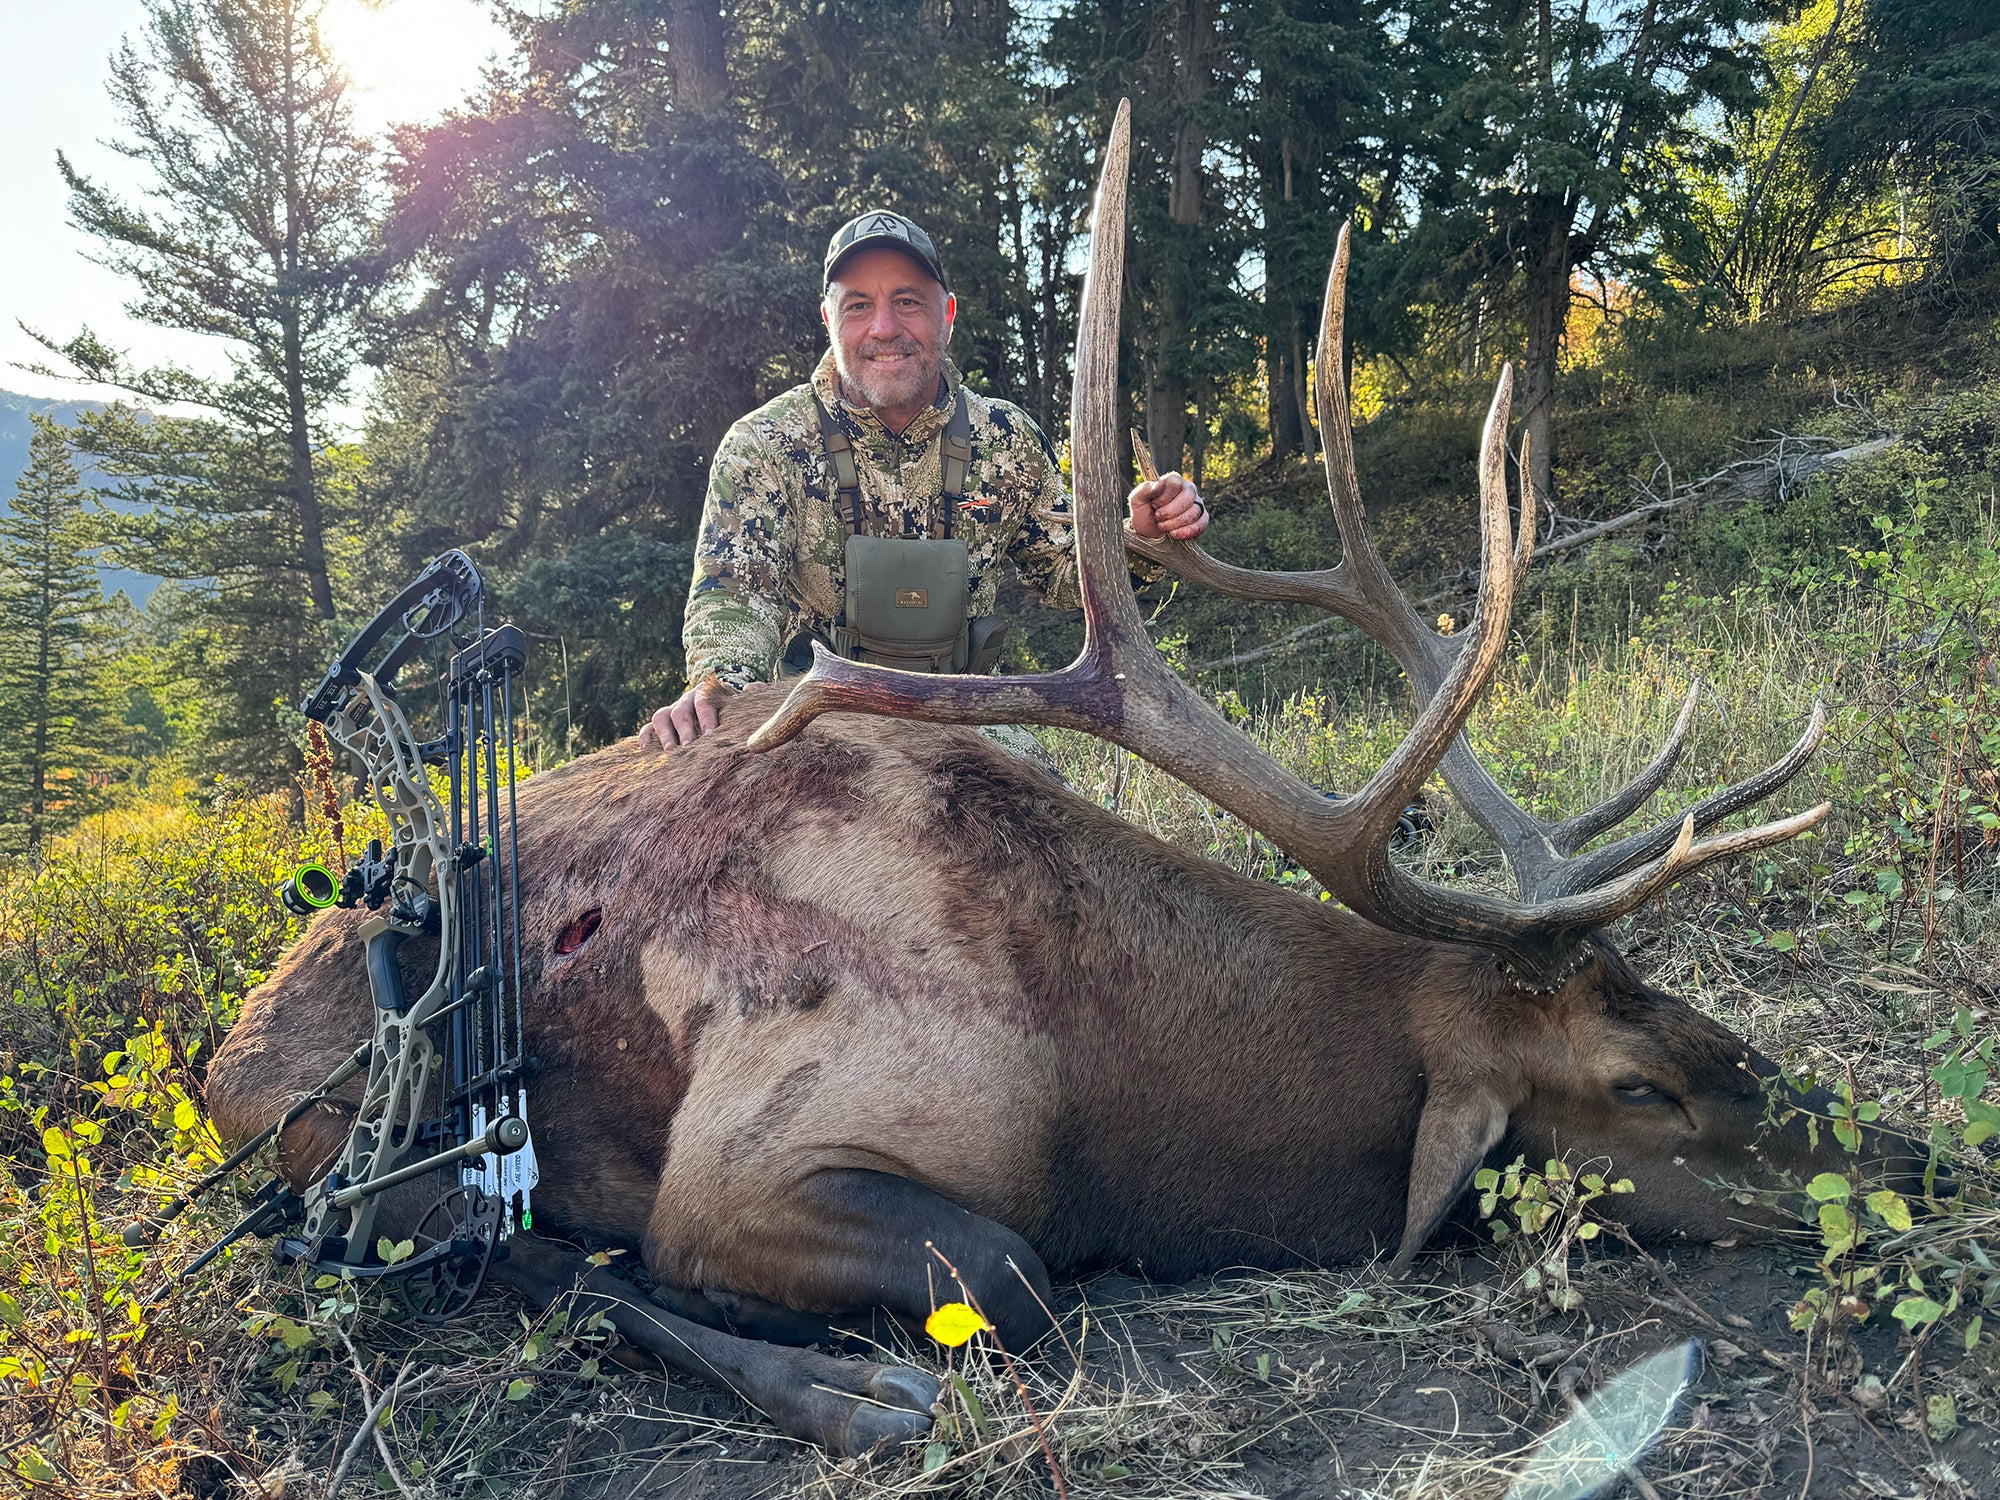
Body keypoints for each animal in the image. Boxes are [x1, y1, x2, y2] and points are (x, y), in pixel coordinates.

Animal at [203, 104, 1918, 1456]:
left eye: (1689, 1010)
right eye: (1639, 1087)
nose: (1907, 1154)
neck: (1123, 1096)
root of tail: (231, 1034)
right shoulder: (756, 1156)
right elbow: (1009, 1269)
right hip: (342, 1140)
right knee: (478, 1248)